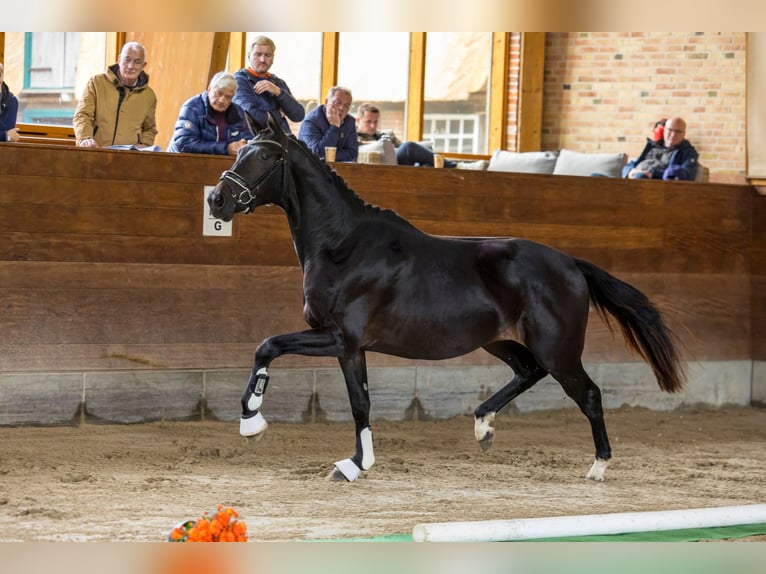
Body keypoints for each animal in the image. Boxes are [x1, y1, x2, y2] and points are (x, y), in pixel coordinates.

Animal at [207, 112, 688, 486]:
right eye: (240, 152)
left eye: (264, 156)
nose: (217, 200)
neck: (344, 245)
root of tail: (570, 263)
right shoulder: (350, 347)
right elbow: (359, 402)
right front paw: (355, 465)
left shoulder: (340, 338)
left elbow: (267, 345)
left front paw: (252, 422)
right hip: (499, 340)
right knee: (527, 371)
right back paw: (483, 427)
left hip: (559, 349)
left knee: (587, 394)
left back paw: (598, 467)